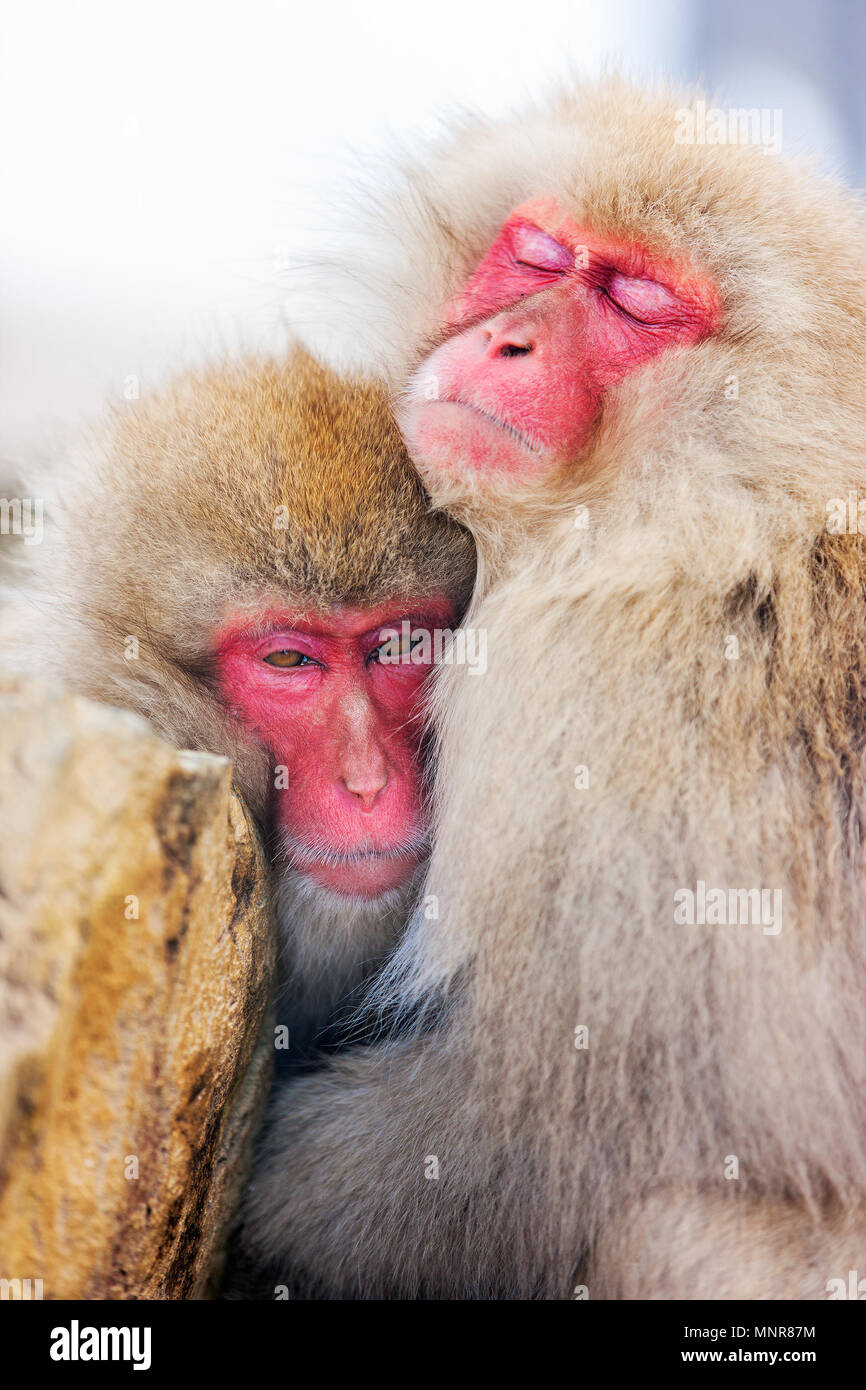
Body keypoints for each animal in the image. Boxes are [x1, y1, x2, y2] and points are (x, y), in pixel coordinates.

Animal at [238, 77, 866, 1299]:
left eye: (635, 300)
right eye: (535, 255)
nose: (510, 341)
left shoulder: (603, 694)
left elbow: (547, 1129)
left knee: (664, 1231)